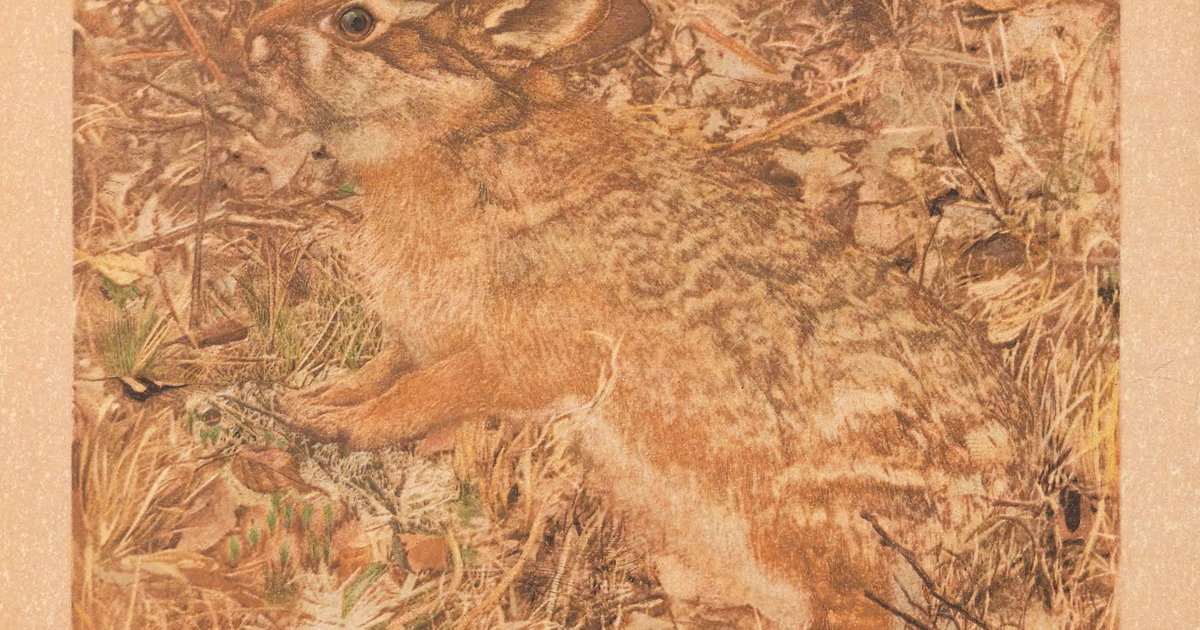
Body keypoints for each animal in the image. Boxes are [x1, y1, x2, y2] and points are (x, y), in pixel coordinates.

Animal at [241, 0, 1034, 627]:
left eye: (354, 22)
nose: (249, 42)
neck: (456, 135)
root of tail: (1006, 511)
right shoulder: (421, 335)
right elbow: (382, 369)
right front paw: (307, 402)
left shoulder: (524, 356)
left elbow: (422, 393)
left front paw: (337, 426)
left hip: (815, 529)